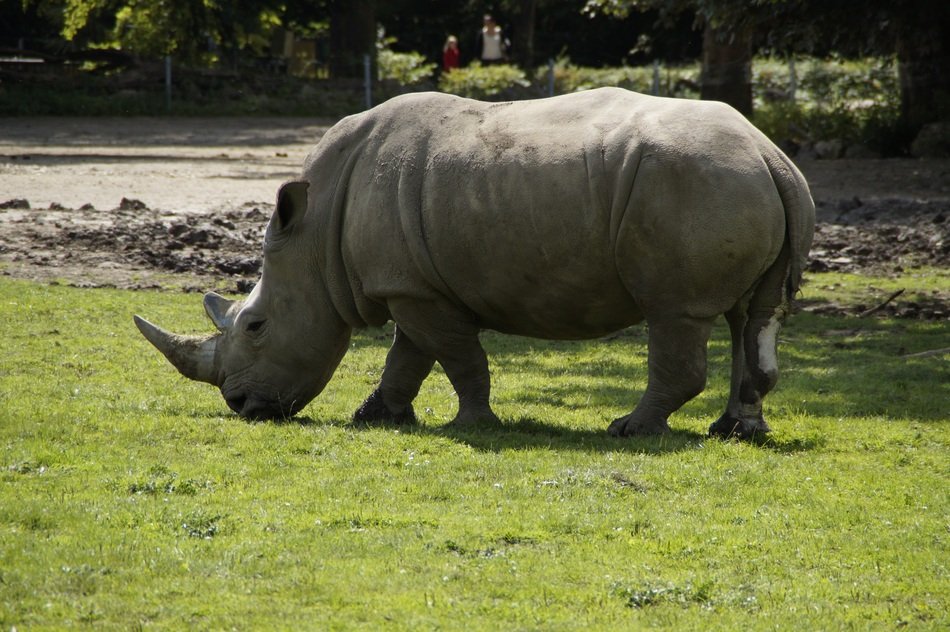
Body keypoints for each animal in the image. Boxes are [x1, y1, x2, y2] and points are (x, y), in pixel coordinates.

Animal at [135, 87, 814, 438]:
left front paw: (475, 425)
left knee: (677, 313)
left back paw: (628, 430)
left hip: (695, 181)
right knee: (749, 315)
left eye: (256, 327)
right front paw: (376, 417)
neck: (314, 236)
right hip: (733, 180)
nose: (240, 407)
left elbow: (457, 357)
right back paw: (735, 432)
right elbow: (409, 357)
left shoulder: (414, 290)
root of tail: (771, 153)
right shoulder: (408, 283)